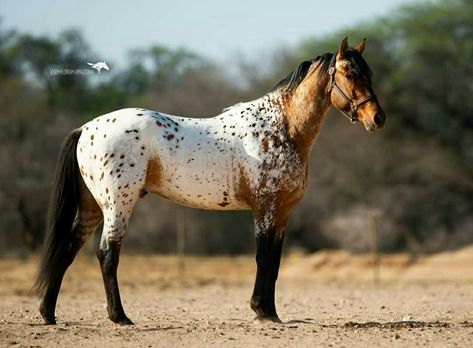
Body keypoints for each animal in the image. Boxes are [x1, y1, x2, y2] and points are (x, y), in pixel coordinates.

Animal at [33, 37, 386, 324]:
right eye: (350, 73)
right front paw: (261, 311)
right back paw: (119, 317)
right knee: (107, 254)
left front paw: (271, 312)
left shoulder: (283, 212)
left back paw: (48, 314)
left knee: (67, 251)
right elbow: (263, 257)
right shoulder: (265, 208)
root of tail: (86, 129)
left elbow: (275, 260)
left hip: (93, 208)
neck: (282, 128)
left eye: (369, 73)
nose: (377, 118)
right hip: (117, 205)